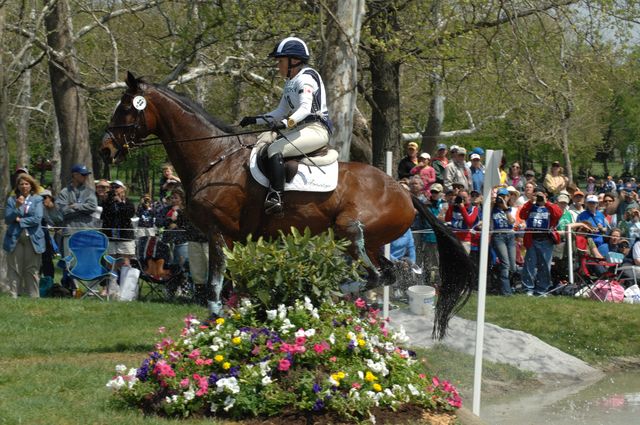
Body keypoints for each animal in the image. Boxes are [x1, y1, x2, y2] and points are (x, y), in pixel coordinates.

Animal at [100, 73, 476, 338]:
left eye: (126, 107)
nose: (105, 149)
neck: (213, 157)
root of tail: (404, 191)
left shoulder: (218, 234)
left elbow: (216, 282)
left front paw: (214, 320)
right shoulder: (237, 239)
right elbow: (236, 282)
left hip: (350, 232)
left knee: (378, 274)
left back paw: (332, 292)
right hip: (369, 241)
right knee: (389, 272)